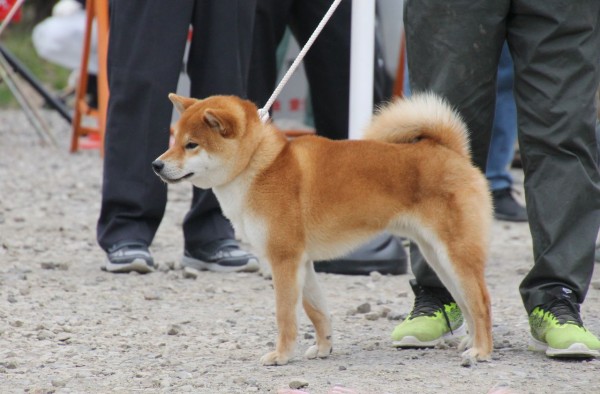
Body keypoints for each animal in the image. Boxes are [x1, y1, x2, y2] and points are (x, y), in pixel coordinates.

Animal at [154, 92, 492, 366]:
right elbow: (316, 311)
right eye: (175, 141)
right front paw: (323, 348)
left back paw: (481, 350)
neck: (258, 166)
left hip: (455, 254)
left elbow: (285, 315)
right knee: (465, 301)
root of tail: (452, 151)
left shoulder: (284, 259)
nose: (156, 165)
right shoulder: (302, 262)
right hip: (437, 257)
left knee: (482, 302)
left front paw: (281, 355)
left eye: (191, 145)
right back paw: (469, 340)